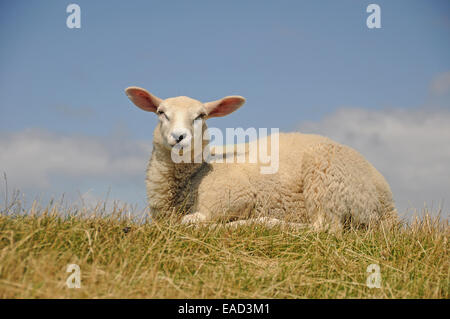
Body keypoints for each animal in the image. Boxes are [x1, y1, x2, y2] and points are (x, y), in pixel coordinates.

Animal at [125, 86, 398, 232]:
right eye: (161, 112)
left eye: (201, 116)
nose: (179, 137)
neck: (197, 174)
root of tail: (388, 206)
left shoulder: (235, 195)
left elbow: (192, 220)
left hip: (326, 177)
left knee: (325, 227)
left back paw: (259, 223)